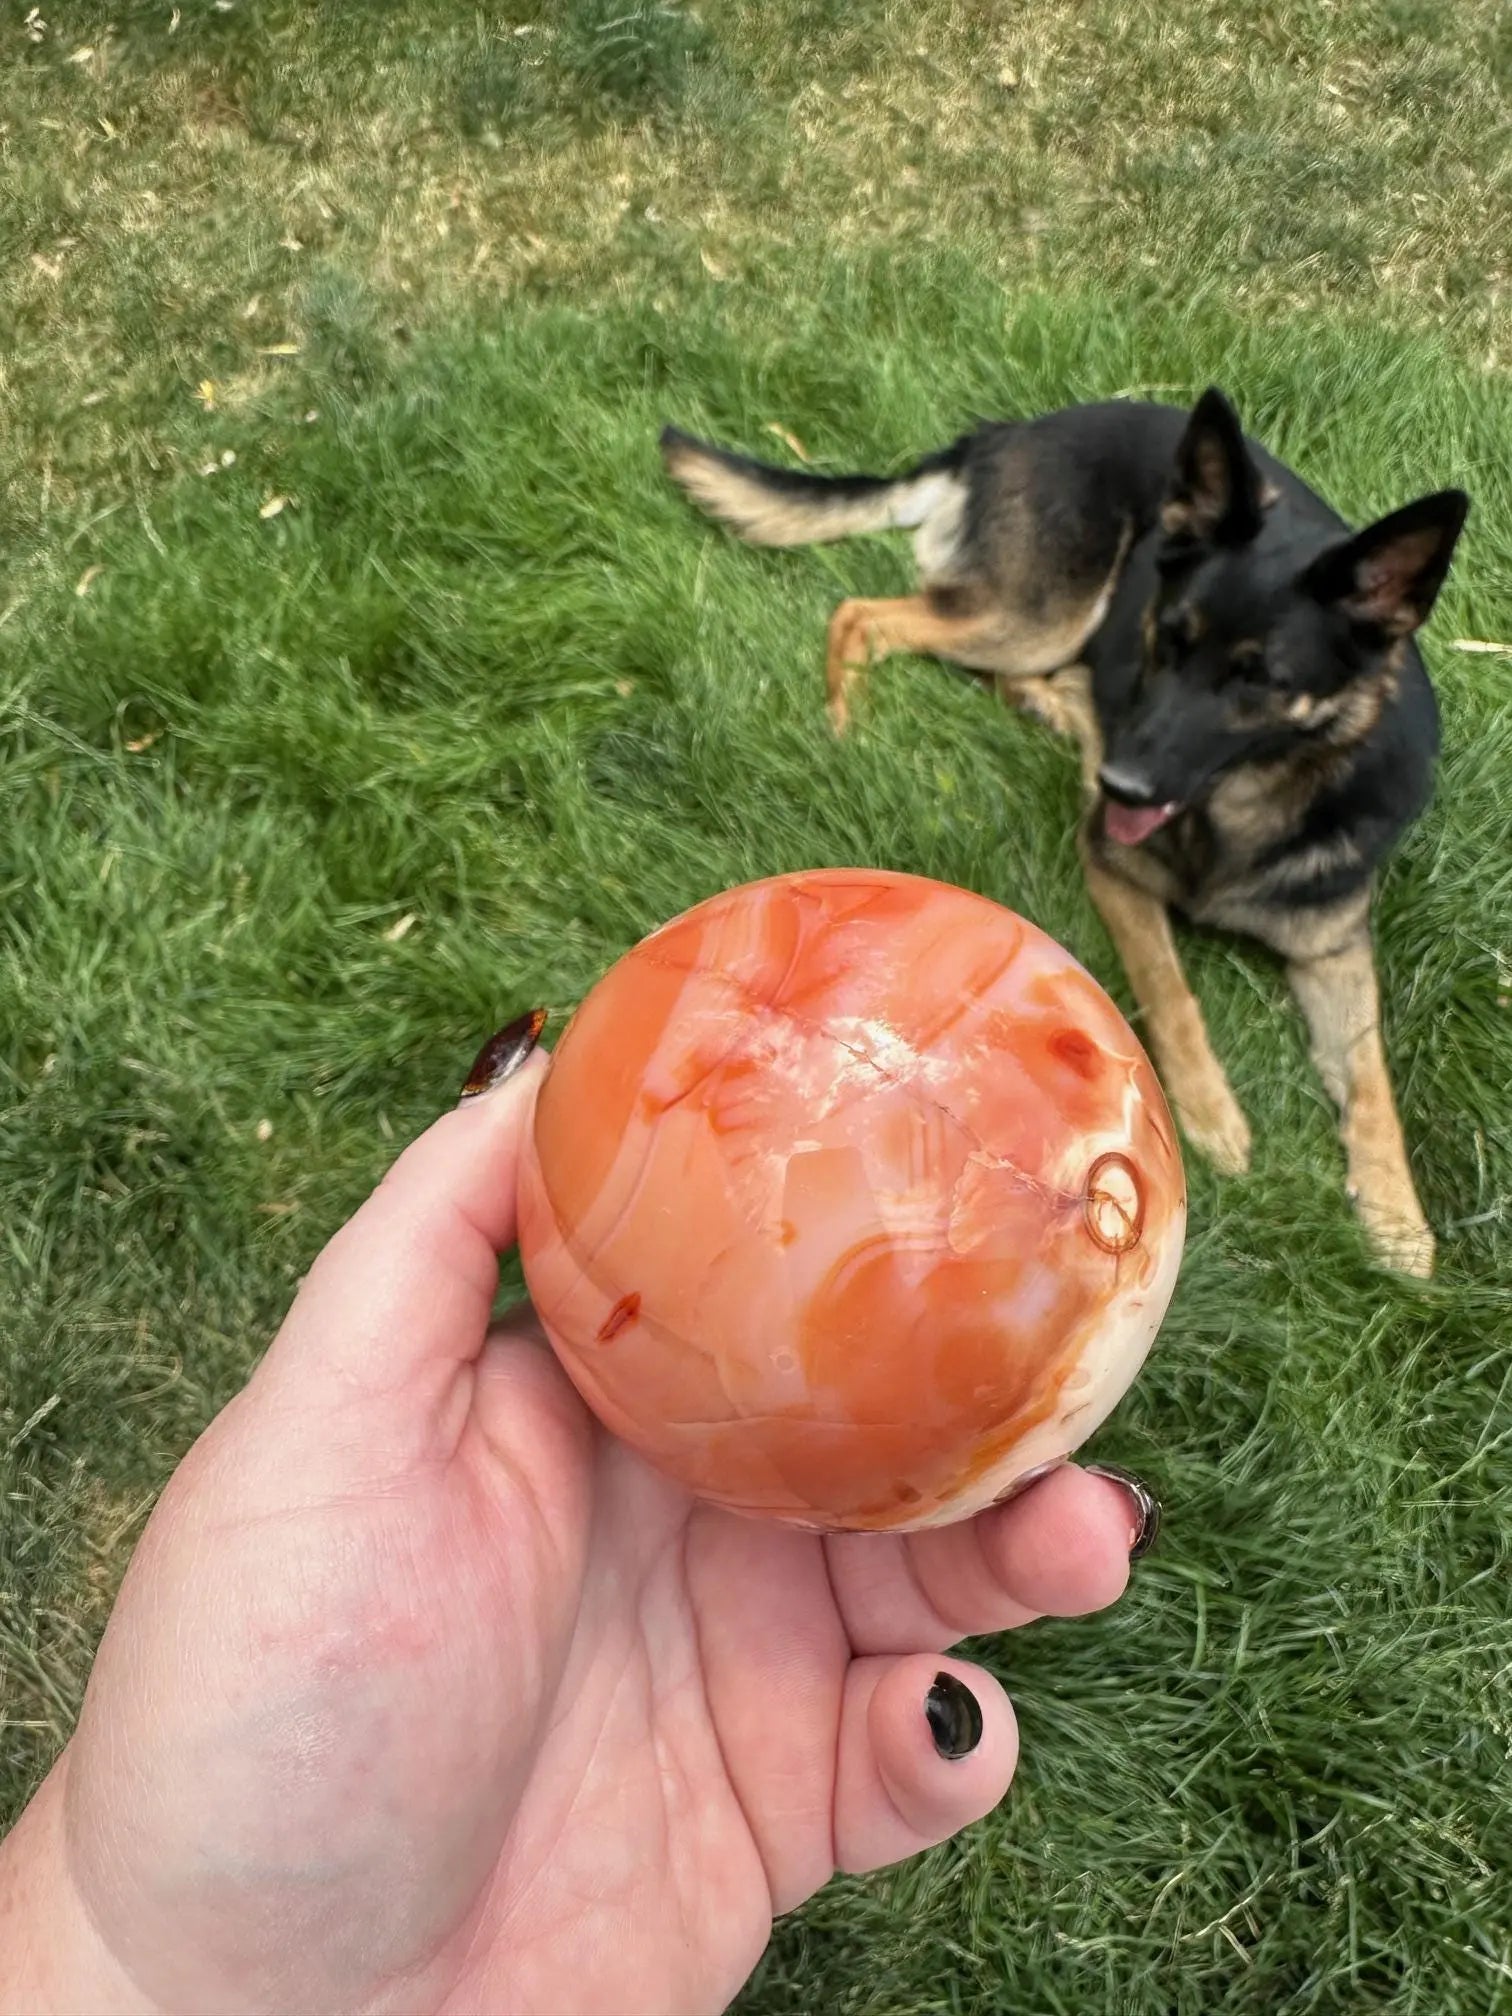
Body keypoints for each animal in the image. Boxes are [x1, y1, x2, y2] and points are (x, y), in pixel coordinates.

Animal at [661, 387, 1467, 1274]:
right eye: (1169, 637)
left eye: (1259, 680)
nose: (1121, 785)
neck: (1245, 808)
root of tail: (1004, 433)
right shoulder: (1115, 870)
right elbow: (1171, 992)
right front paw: (1212, 1114)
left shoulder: (1333, 948)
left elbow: (1371, 1081)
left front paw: (1398, 1219)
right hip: (1039, 613)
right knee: (864, 616)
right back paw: (850, 725)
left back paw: (1055, 714)